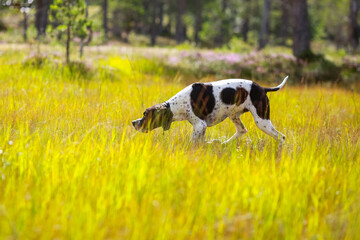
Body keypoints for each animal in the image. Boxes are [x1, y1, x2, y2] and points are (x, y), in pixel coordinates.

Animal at [132, 76, 286, 143]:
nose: (134, 122)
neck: (181, 103)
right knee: (241, 131)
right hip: (234, 116)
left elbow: (192, 142)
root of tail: (263, 88)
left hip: (262, 120)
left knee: (281, 137)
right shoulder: (202, 128)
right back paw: (223, 144)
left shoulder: (200, 125)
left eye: (146, 114)